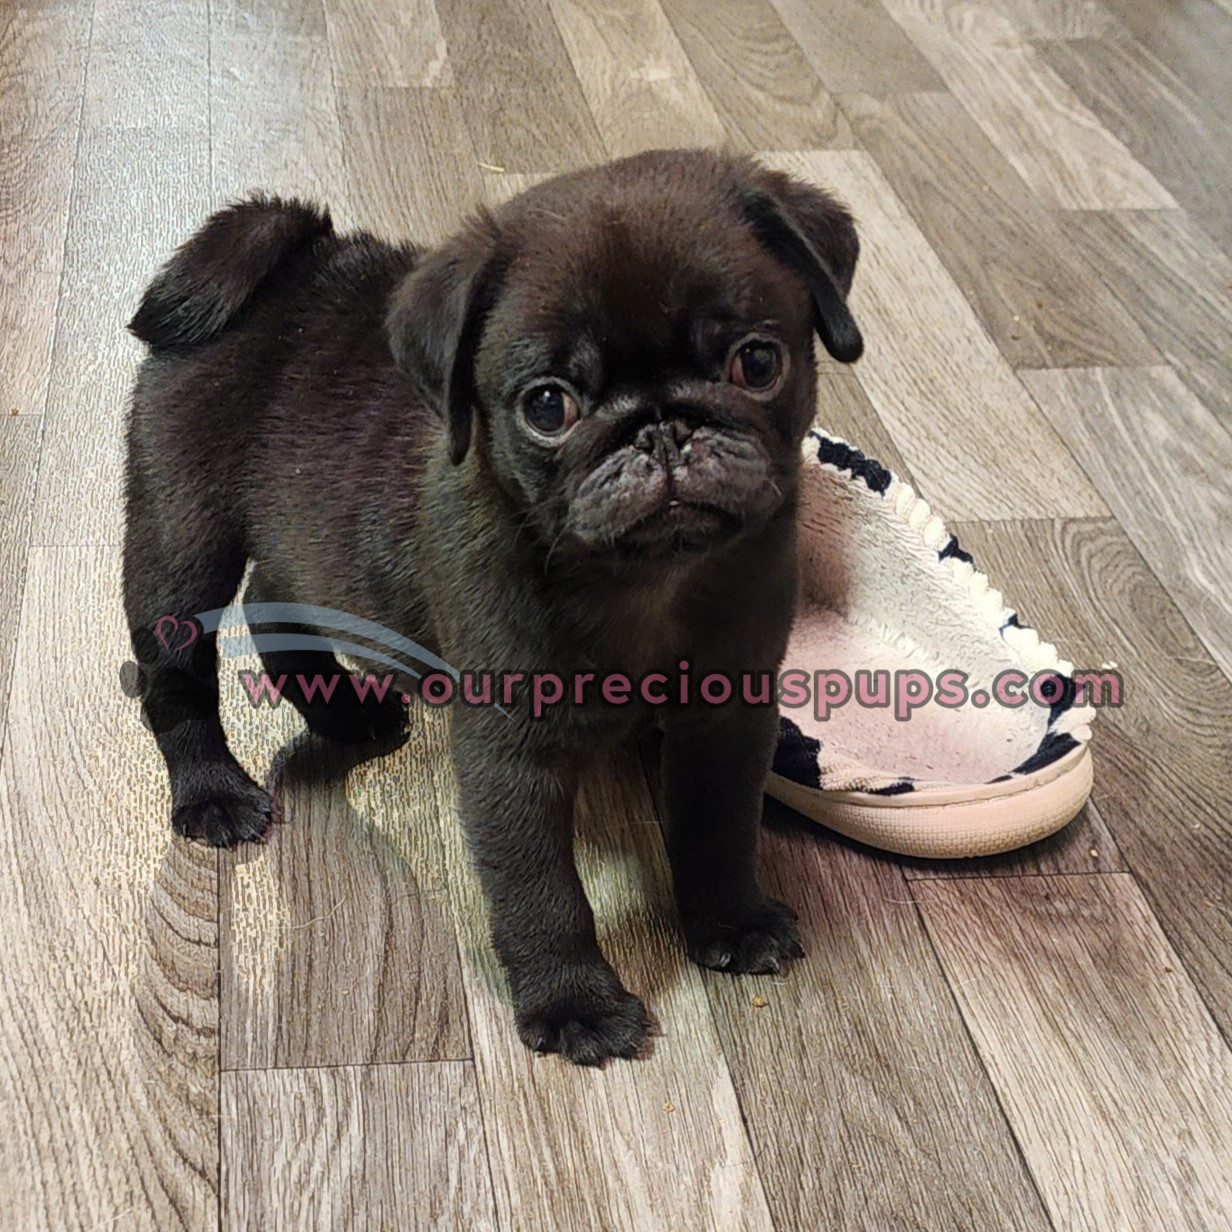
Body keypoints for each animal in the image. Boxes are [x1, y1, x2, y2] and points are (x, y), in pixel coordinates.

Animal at [123, 148, 863, 1065]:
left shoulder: (727, 716)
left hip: (307, 541)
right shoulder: (513, 756)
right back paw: (212, 792)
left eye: (757, 364)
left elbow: (718, 823)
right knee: (176, 672)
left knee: (274, 600)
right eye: (548, 405)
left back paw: (347, 717)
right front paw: (574, 1002)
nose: (659, 427)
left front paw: (732, 917)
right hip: (181, 541)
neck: (645, 580)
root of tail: (291, 254)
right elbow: (542, 891)